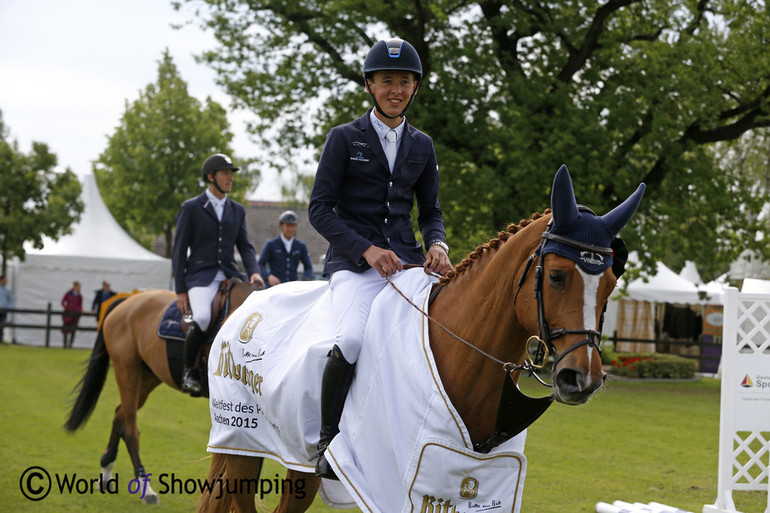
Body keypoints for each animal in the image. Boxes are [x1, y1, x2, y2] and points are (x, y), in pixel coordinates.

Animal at [66, 278, 258, 502]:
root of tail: (126, 301)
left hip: (147, 377)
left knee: (120, 414)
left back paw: (106, 472)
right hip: (127, 371)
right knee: (130, 430)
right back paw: (144, 487)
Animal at [196, 165, 640, 512]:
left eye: (610, 284)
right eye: (557, 276)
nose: (582, 378)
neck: (458, 350)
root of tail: (247, 302)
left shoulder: (470, 485)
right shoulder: (395, 484)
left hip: (295, 462)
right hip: (240, 442)